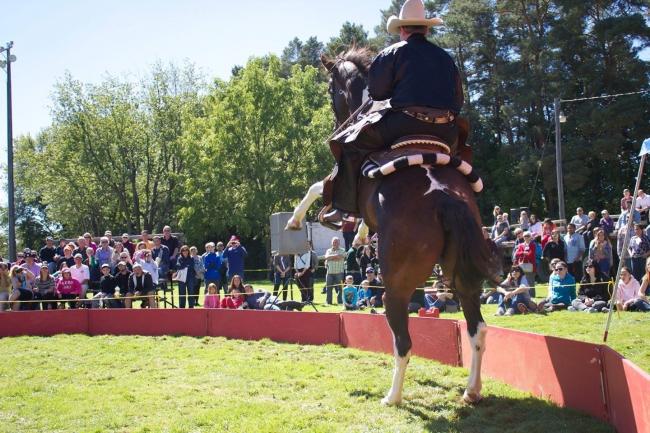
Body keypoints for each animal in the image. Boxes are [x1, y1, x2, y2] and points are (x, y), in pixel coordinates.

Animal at [318, 48, 492, 404]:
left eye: (331, 89)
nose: (339, 121)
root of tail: (446, 200)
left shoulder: (339, 176)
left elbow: (318, 189)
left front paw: (298, 219)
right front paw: (358, 234)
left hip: (396, 285)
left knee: (403, 341)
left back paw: (393, 396)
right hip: (463, 278)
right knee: (476, 330)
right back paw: (471, 391)